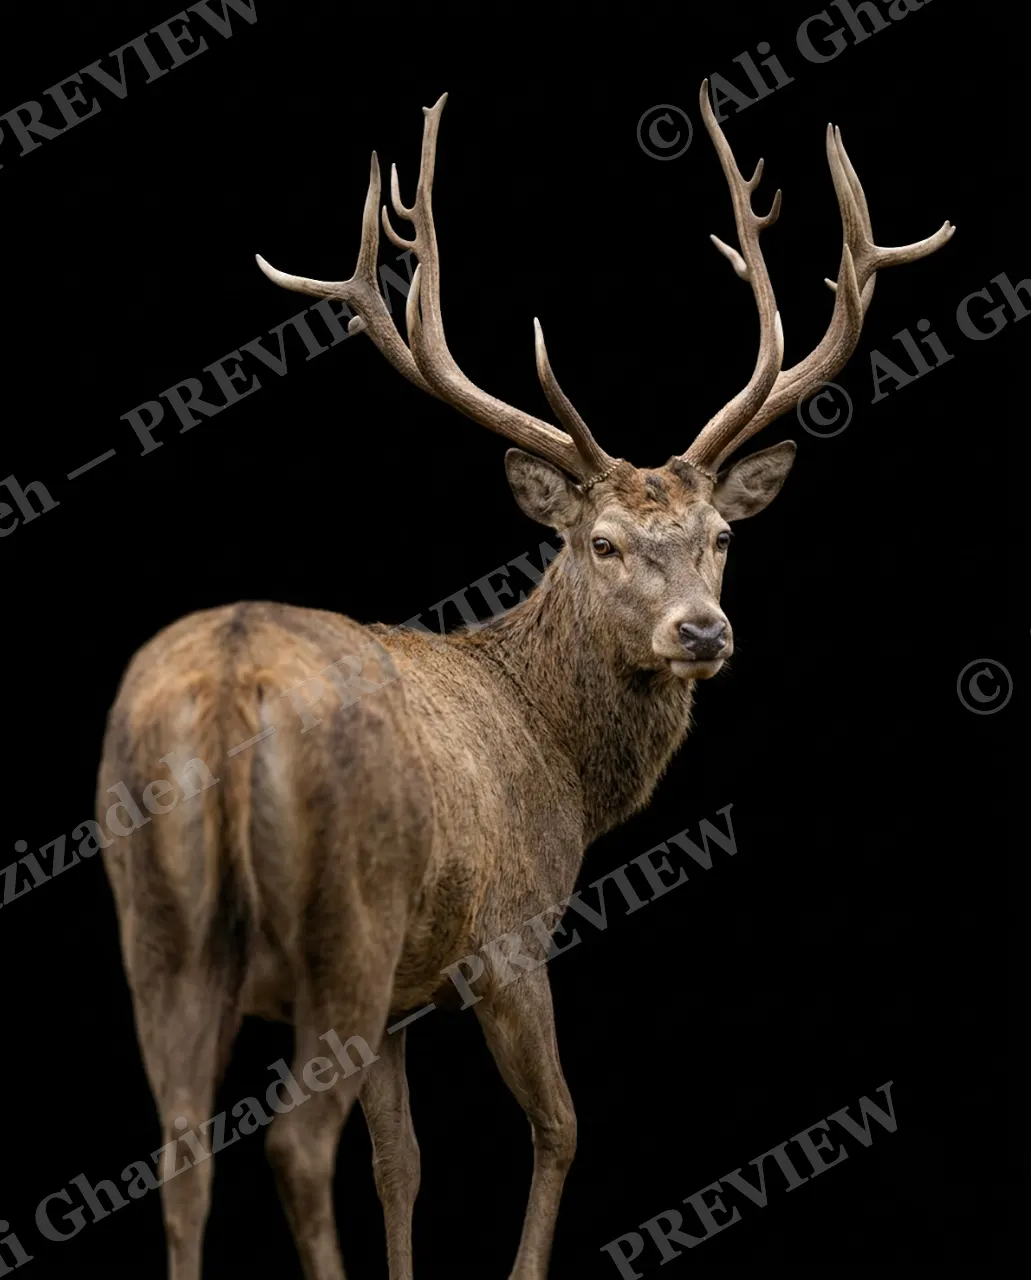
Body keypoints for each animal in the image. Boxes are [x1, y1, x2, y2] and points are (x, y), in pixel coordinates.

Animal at [97, 81, 953, 1280]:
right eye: (600, 542)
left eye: (721, 535)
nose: (703, 631)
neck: (563, 763)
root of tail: (228, 684)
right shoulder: (510, 926)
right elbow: (558, 1125)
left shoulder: (405, 994)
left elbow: (400, 1162)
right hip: (341, 924)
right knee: (292, 1149)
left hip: (156, 926)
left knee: (181, 1149)